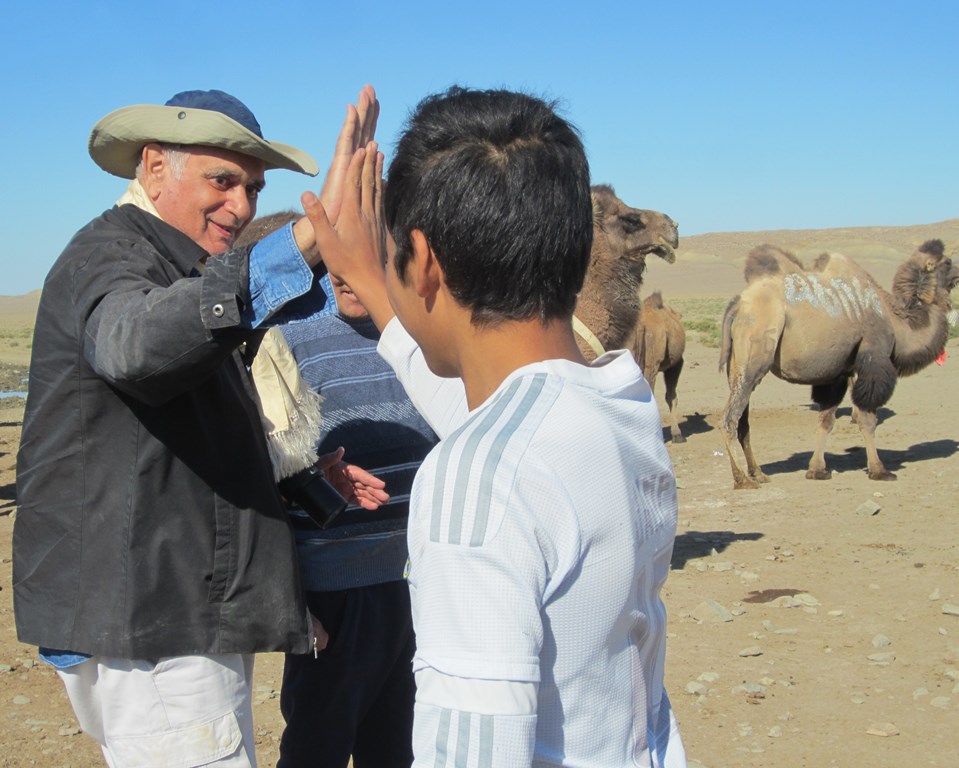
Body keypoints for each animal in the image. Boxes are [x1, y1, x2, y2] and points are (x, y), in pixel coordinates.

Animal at [720, 240, 959, 488]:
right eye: (947, 262)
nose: (958, 272)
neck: (895, 319)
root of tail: (738, 304)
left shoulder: (838, 374)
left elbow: (826, 419)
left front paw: (817, 470)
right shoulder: (872, 360)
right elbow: (867, 418)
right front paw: (879, 470)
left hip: (736, 367)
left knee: (743, 420)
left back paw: (757, 473)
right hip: (754, 357)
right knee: (730, 418)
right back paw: (743, 479)